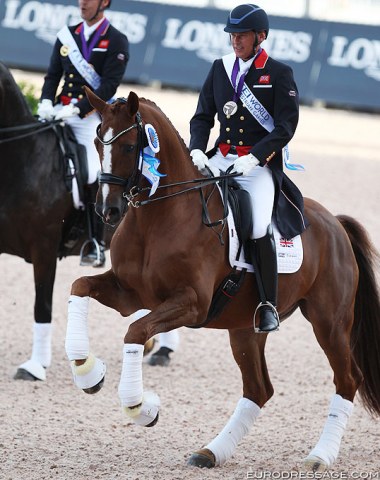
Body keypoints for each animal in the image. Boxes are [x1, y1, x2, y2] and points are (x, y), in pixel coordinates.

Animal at [67, 88, 380, 470]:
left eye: (128, 148)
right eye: (99, 142)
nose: (108, 210)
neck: (157, 218)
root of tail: (335, 223)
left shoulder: (192, 304)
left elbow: (136, 331)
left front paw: (142, 407)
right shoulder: (131, 294)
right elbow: (80, 287)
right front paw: (87, 371)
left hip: (329, 322)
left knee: (347, 379)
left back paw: (320, 456)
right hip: (245, 327)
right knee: (258, 389)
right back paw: (211, 451)